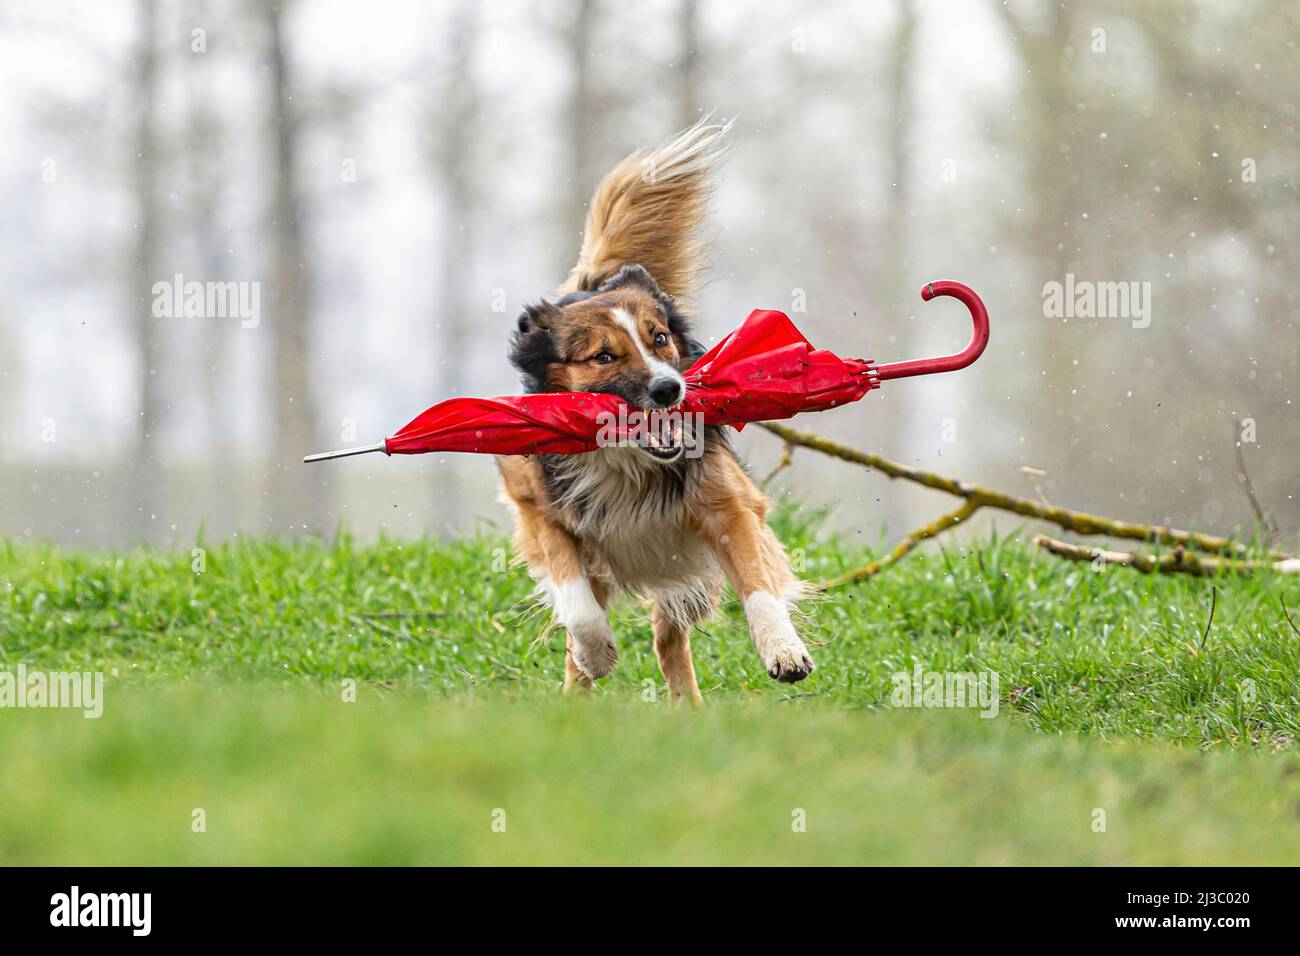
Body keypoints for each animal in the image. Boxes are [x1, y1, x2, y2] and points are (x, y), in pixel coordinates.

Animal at [496, 117, 811, 702]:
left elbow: (758, 585)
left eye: (659, 338)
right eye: (603, 356)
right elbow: (577, 605)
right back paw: (575, 698)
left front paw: (783, 650)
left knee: (669, 640)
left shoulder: (729, 506)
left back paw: (688, 708)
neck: (628, 461)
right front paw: (596, 652)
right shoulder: (540, 511)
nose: (669, 390)